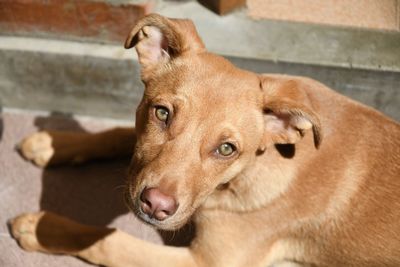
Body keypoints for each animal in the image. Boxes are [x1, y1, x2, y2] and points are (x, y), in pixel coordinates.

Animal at [9, 14, 400, 267]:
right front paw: (57, 144)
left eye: (227, 149)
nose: (156, 205)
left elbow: (112, 242)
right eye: (162, 113)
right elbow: (121, 134)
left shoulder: (208, 261)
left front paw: (44, 229)